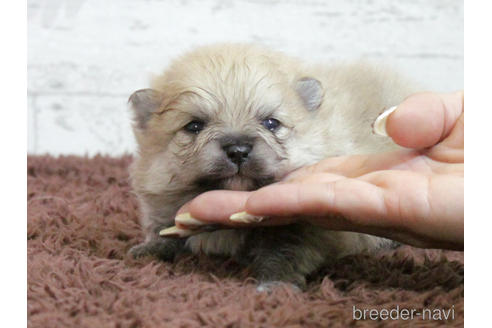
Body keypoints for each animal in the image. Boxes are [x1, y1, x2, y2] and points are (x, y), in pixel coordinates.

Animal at [127, 43, 416, 288]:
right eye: (194, 126)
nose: (238, 150)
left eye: (270, 123)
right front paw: (150, 249)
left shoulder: (299, 232)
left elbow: (284, 253)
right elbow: (166, 230)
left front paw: (275, 284)